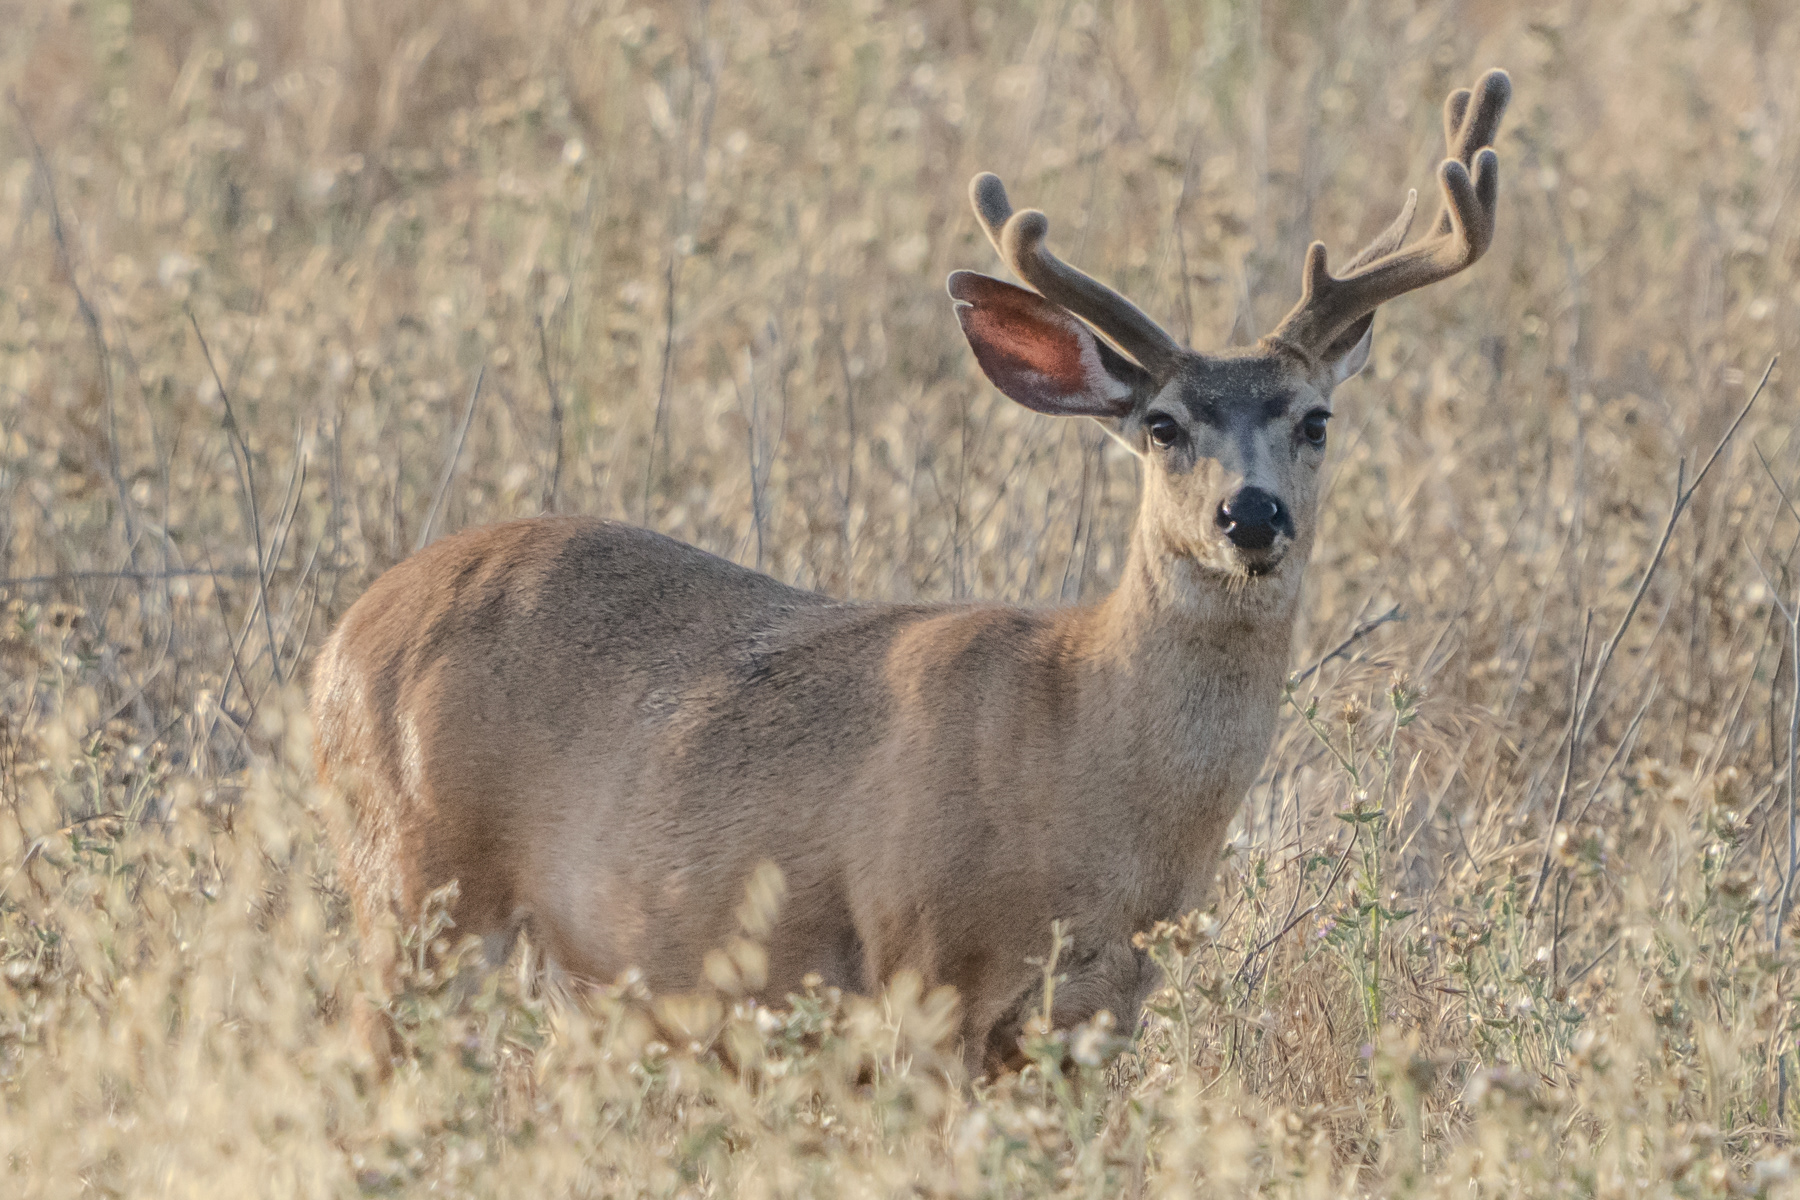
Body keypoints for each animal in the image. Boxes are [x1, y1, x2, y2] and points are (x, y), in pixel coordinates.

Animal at [311, 70, 1509, 1077]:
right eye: (1163, 424)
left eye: (1315, 419)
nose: (1250, 513)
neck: (1085, 753)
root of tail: (342, 640)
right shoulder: (922, 965)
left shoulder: (1100, 1012)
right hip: (414, 882)